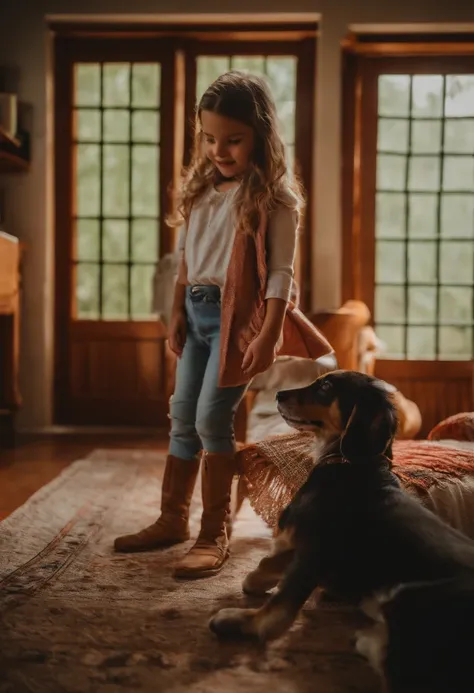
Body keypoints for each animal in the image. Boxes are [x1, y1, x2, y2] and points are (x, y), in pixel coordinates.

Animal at [211, 374, 474, 692]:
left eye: (326, 387)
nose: (279, 394)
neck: (350, 464)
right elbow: (269, 562)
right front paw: (256, 579)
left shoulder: (313, 554)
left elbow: (277, 611)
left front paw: (237, 619)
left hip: (410, 598)